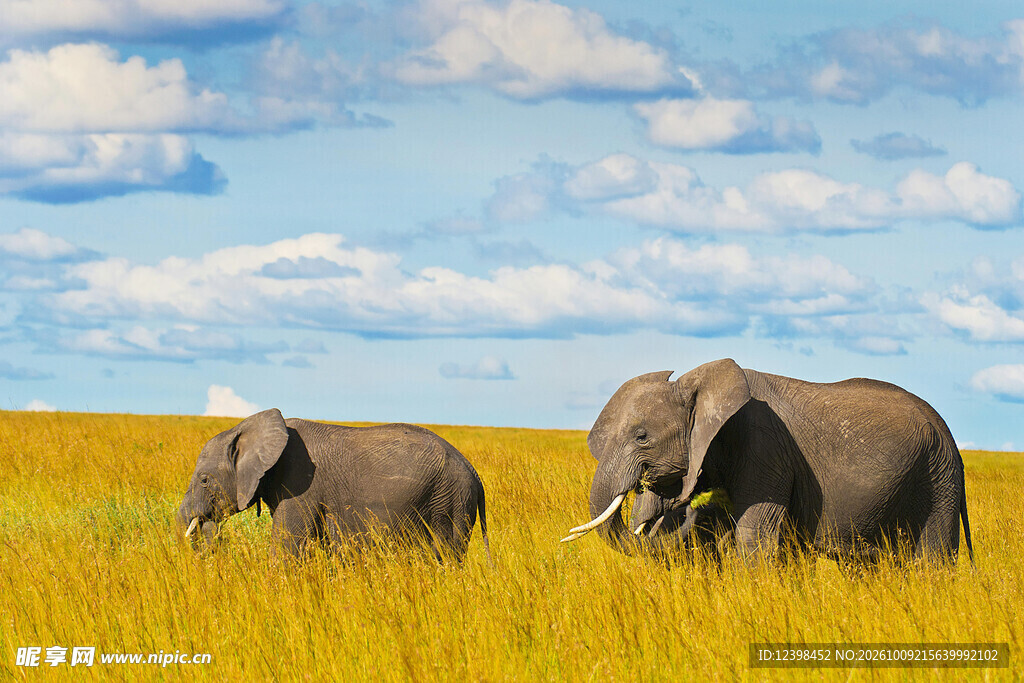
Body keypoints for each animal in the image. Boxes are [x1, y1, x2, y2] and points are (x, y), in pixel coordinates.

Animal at [176, 409, 490, 562]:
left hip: (450, 501)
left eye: (204, 480)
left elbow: (287, 545)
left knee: (445, 554)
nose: (205, 524)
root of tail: (474, 473)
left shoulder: (299, 483)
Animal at [562, 359, 973, 563]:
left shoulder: (765, 448)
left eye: (641, 437)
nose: (696, 511)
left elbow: (753, 534)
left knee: (932, 561)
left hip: (938, 477)